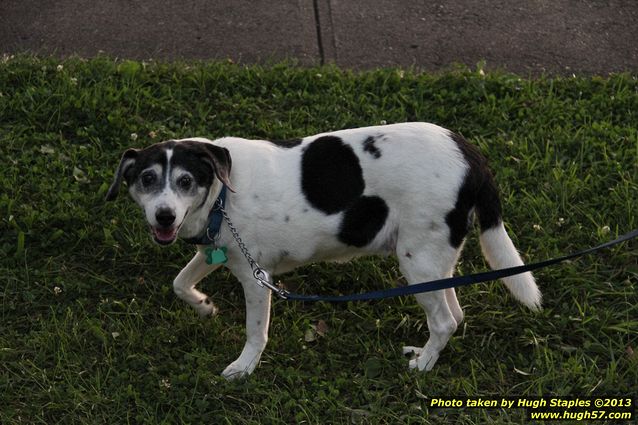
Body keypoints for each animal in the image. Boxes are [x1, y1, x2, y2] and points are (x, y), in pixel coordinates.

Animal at [107, 121, 544, 378]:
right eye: (146, 179)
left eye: (185, 181)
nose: (164, 216)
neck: (222, 196)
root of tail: (471, 156)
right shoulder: (215, 251)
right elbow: (179, 283)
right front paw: (203, 306)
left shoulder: (256, 278)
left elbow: (255, 331)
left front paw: (245, 367)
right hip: (434, 261)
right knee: (455, 312)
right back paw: (427, 354)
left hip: (416, 260)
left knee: (446, 321)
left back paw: (422, 365)